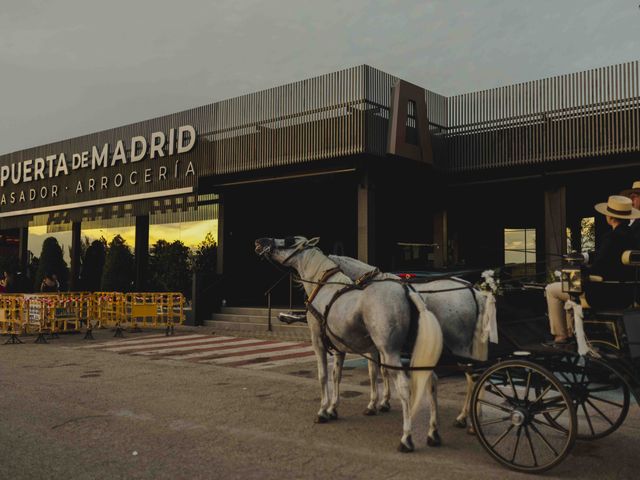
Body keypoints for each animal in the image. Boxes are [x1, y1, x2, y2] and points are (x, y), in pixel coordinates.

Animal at [255, 238, 444, 452]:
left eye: (288, 241)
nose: (261, 241)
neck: (324, 288)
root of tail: (406, 291)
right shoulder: (340, 348)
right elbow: (337, 375)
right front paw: (333, 408)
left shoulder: (318, 342)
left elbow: (323, 376)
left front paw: (323, 410)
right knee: (432, 380)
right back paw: (433, 433)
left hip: (390, 351)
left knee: (404, 387)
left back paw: (406, 438)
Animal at [328, 253, 498, 430]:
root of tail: (472, 289)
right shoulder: (383, 347)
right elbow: (383, 371)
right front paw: (384, 402)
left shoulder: (376, 347)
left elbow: (374, 372)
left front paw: (373, 404)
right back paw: (474, 415)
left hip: (460, 346)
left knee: (472, 378)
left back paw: (464, 418)